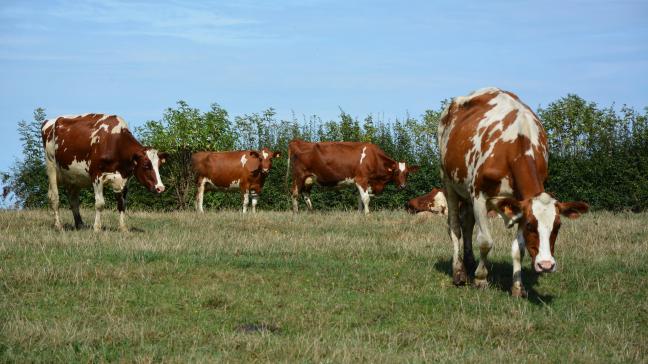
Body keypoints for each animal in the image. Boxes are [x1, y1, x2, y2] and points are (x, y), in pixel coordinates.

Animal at [288, 139, 420, 213]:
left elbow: (360, 199)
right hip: (299, 176)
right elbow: (366, 198)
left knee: (306, 195)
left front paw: (359, 214)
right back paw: (296, 213)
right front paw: (367, 215)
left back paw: (311, 212)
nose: (403, 186)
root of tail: (298, 141)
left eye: (407, 173)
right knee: (295, 194)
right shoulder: (361, 179)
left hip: (309, 179)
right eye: (396, 172)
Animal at [438, 86, 588, 298]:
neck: (515, 144)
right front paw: (481, 279)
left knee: (467, 224)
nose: (546, 265)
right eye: (531, 226)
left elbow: (519, 249)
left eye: (558, 226)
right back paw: (459, 271)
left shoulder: (520, 204)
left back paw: (469, 262)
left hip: (466, 193)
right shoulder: (479, 196)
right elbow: (485, 241)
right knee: (455, 228)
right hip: (448, 182)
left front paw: (518, 287)